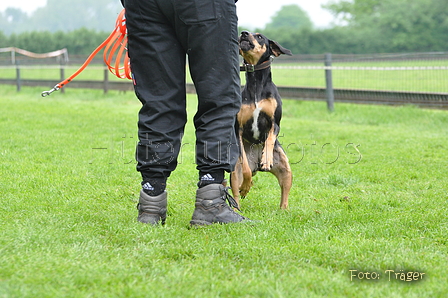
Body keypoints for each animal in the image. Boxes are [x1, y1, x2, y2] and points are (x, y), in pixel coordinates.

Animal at [231, 30, 294, 210]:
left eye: (259, 36)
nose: (244, 33)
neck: (256, 85)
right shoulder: (238, 129)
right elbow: (245, 170)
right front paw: (246, 186)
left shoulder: (275, 123)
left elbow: (270, 138)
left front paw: (266, 160)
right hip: (234, 170)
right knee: (236, 190)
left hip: (285, 169)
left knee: (285, 190)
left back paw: (284, 211)